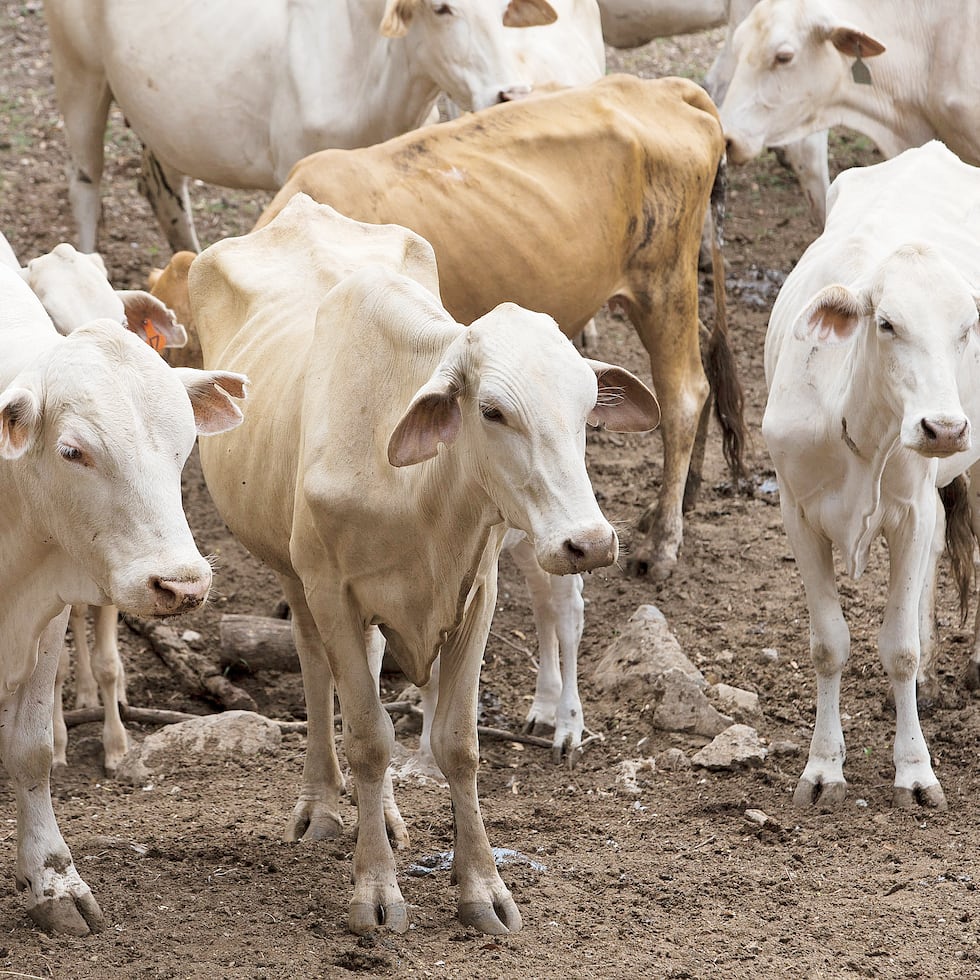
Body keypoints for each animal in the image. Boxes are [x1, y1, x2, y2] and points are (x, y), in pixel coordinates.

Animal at [0, 262, 245, 936]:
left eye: (185, 443)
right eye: (72, 451)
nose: (182, 584)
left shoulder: (44, 619)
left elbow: (30, 750)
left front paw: (53, 882)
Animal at [44, 0, 560, 253]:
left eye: (504, 10)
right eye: (442, 8)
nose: (511, 93)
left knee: (161, 188)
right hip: (79, 74)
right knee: (84, 182)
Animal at [189, 193, 660, 936]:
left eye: (588, 406)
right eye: (493, 411)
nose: (587, 543)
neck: (418, 493)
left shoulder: (476, 591)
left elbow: (458, 744)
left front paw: (483, 888)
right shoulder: (331, 589)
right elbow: (369, 738)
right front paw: (375, 889)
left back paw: (379, 814)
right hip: (294, 573)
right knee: (319, 675)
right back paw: (323, 806)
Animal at [764, 140, 980, 812]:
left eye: (966, 327)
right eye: (886, 323)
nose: (943, 428)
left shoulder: (910, 511)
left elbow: (899, 649)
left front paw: (914, 771)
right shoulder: (797, 515)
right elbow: (829, 644)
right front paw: (822, 769)